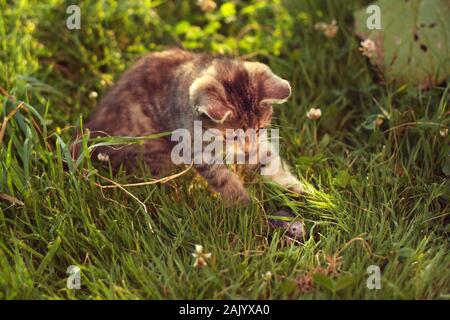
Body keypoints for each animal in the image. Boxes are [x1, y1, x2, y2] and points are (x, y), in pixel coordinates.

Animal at [74, 48, 304, 204]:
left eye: (259, 128)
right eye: (232, 136)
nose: (248, 148)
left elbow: (269, 158)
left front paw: (293, 186)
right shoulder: (196, 151)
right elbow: (223, 179)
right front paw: (245, 205)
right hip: (155, 155)